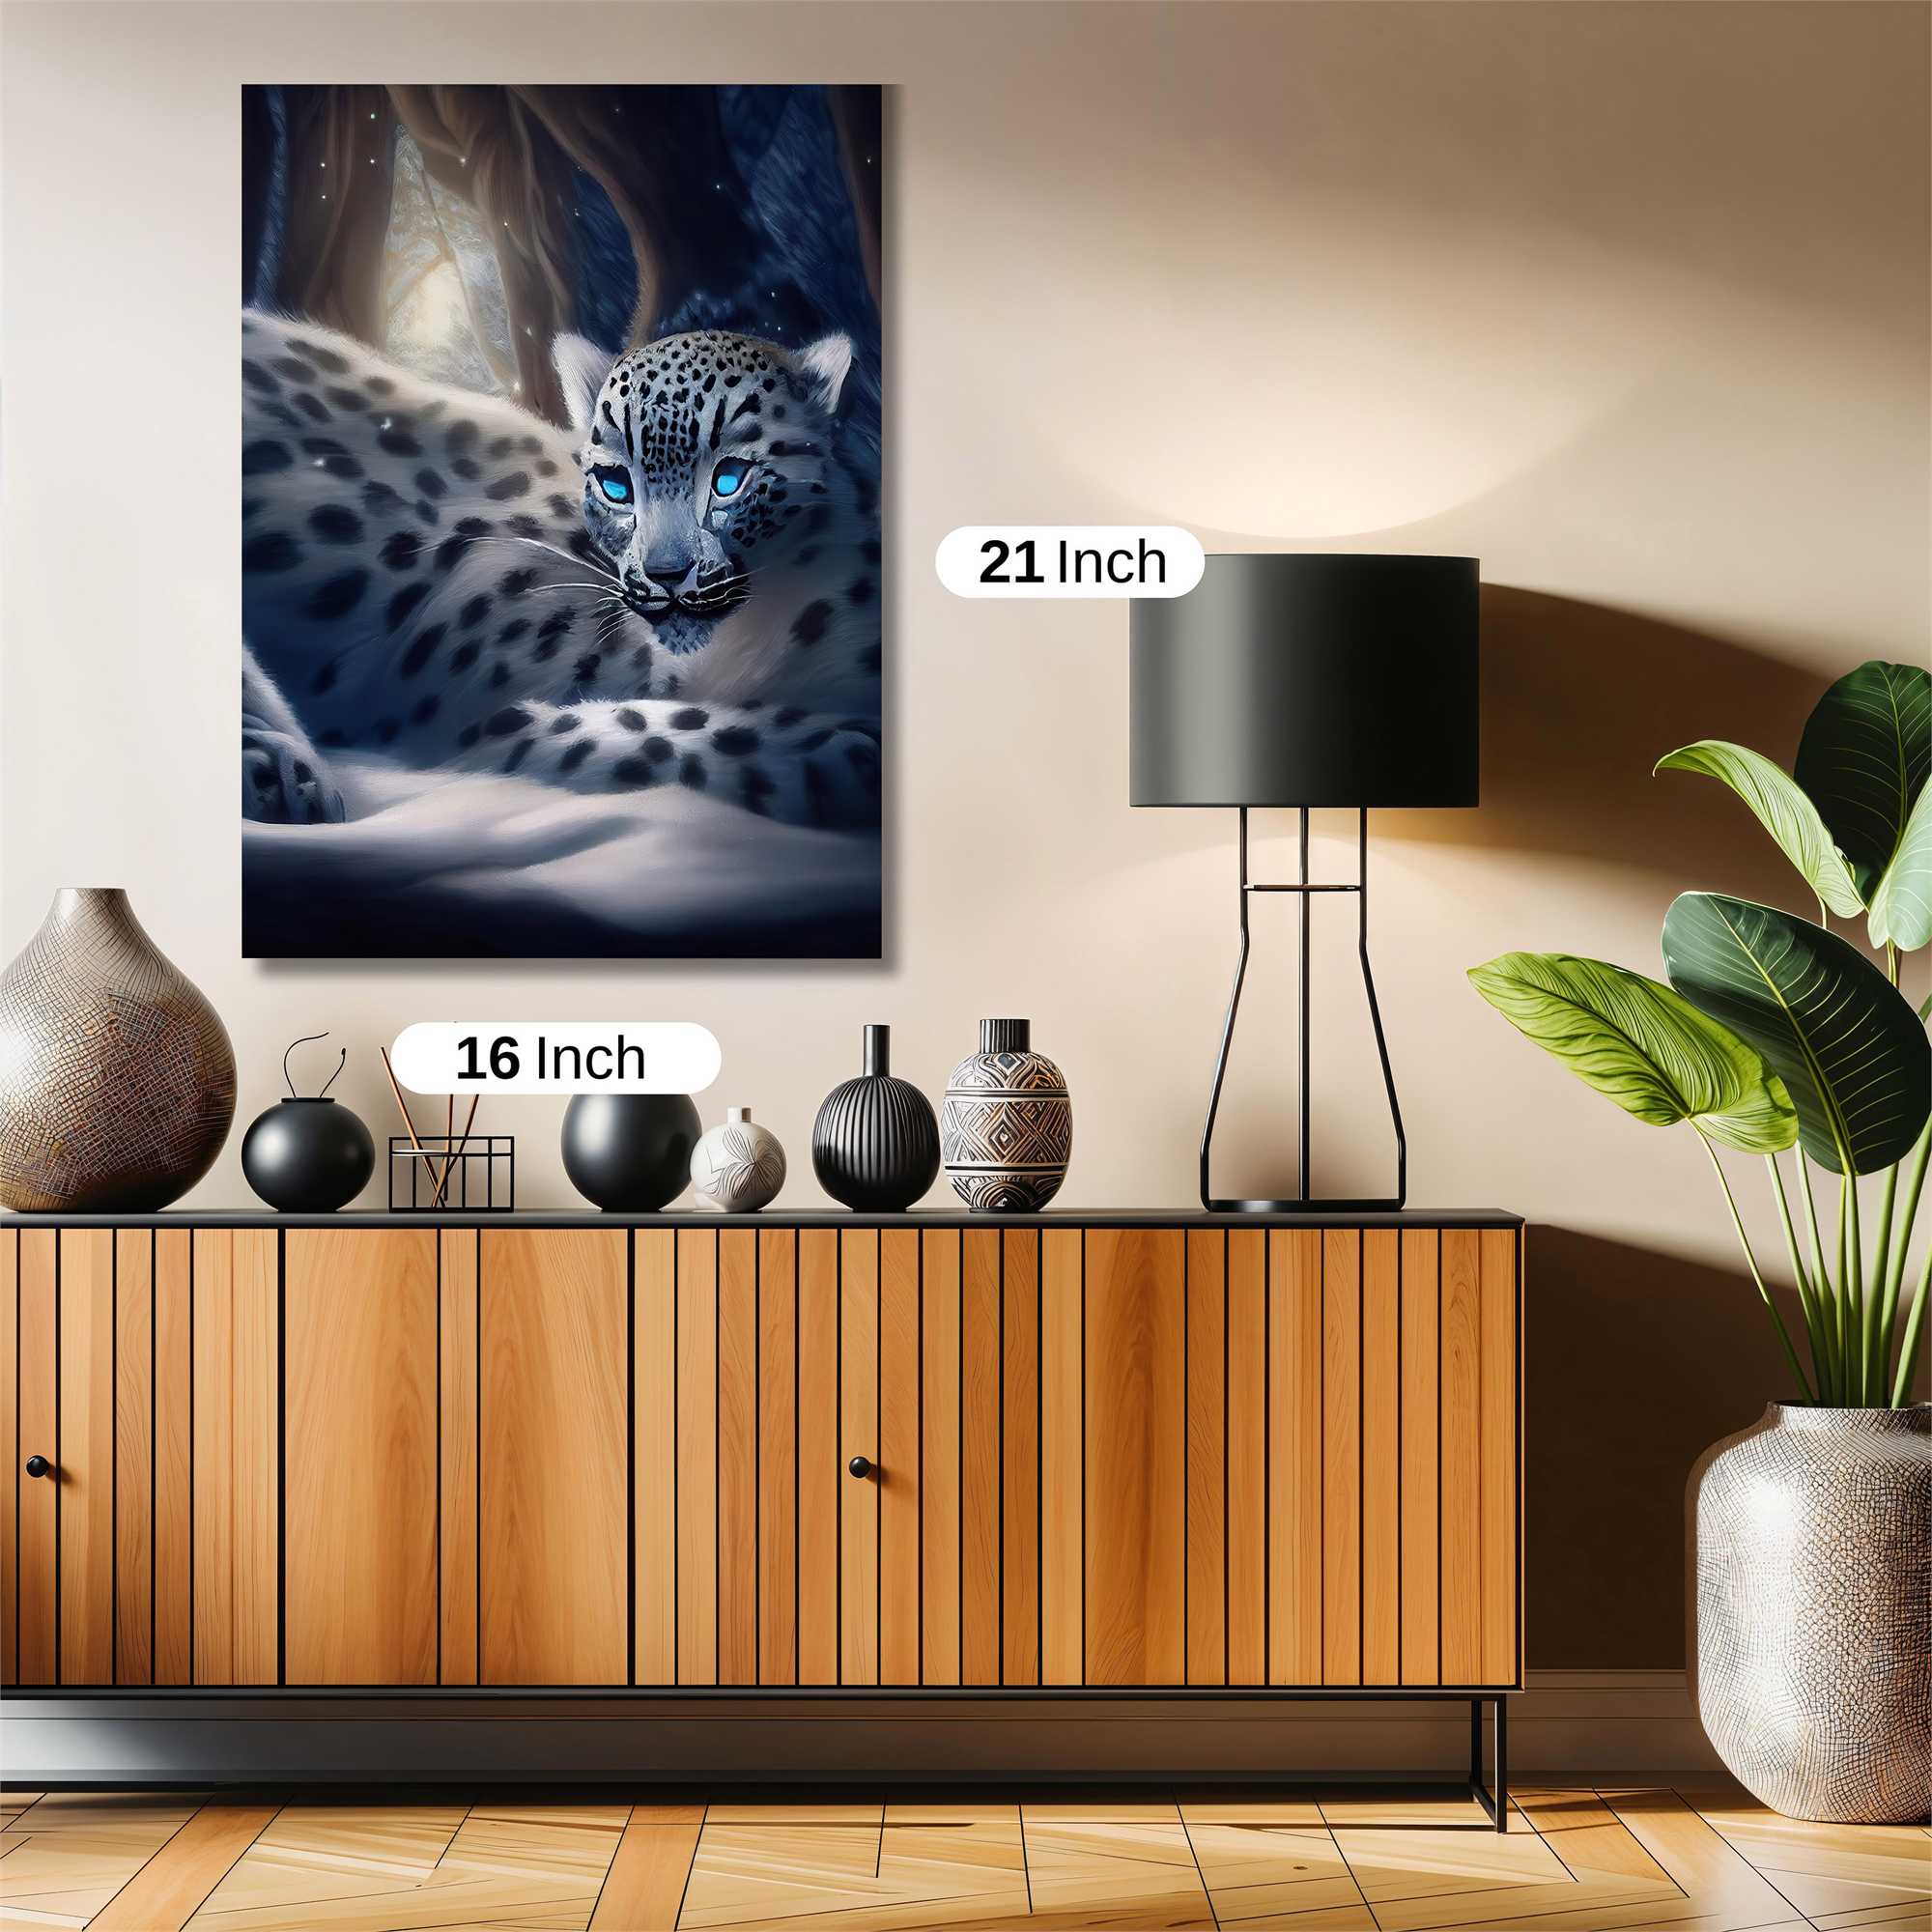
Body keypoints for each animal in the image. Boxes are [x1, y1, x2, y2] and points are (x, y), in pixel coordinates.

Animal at [241, 308, 881, 831]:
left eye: (729, 479)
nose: (666, 574)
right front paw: (837, 752)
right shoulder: (464, 708)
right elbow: (641, 727)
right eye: (617, 484)